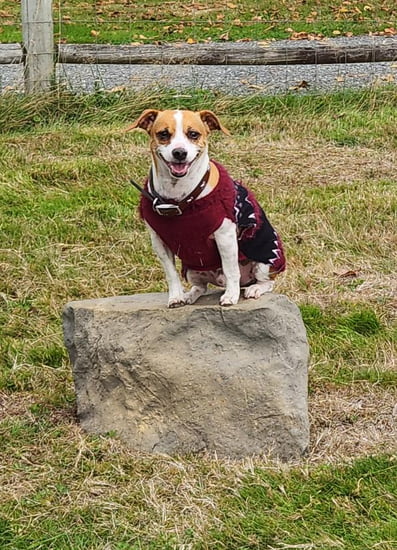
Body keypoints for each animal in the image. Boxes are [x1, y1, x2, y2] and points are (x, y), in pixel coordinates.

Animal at [127, 109, 284, 308]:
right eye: (163, 134)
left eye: (193, 134)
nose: (180, 152)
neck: (179, 197)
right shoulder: (158, 242)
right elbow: (171, 274)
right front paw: (176, 297)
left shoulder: (225, 236)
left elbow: (231, 268)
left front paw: (231, 296)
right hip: (192, 270)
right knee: (201, 287)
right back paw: (190, 295)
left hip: (264, 261)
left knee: (267, 281)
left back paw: (254, 289)